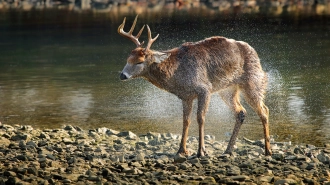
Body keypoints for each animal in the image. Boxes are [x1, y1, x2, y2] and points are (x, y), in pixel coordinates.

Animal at [117, 15, 272, 157]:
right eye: (127, 59)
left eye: (139, 61)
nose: (122, 75)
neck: (177, 75)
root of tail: (254, 52)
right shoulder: (186, 96)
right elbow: (186, 120)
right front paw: (181, 150)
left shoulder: (205, 88)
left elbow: (200, 118)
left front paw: (201, 151)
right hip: (228, 90)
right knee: (241, 112)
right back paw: (228, 150)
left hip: (253, 81)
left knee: (264, 110)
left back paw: (268, 150)